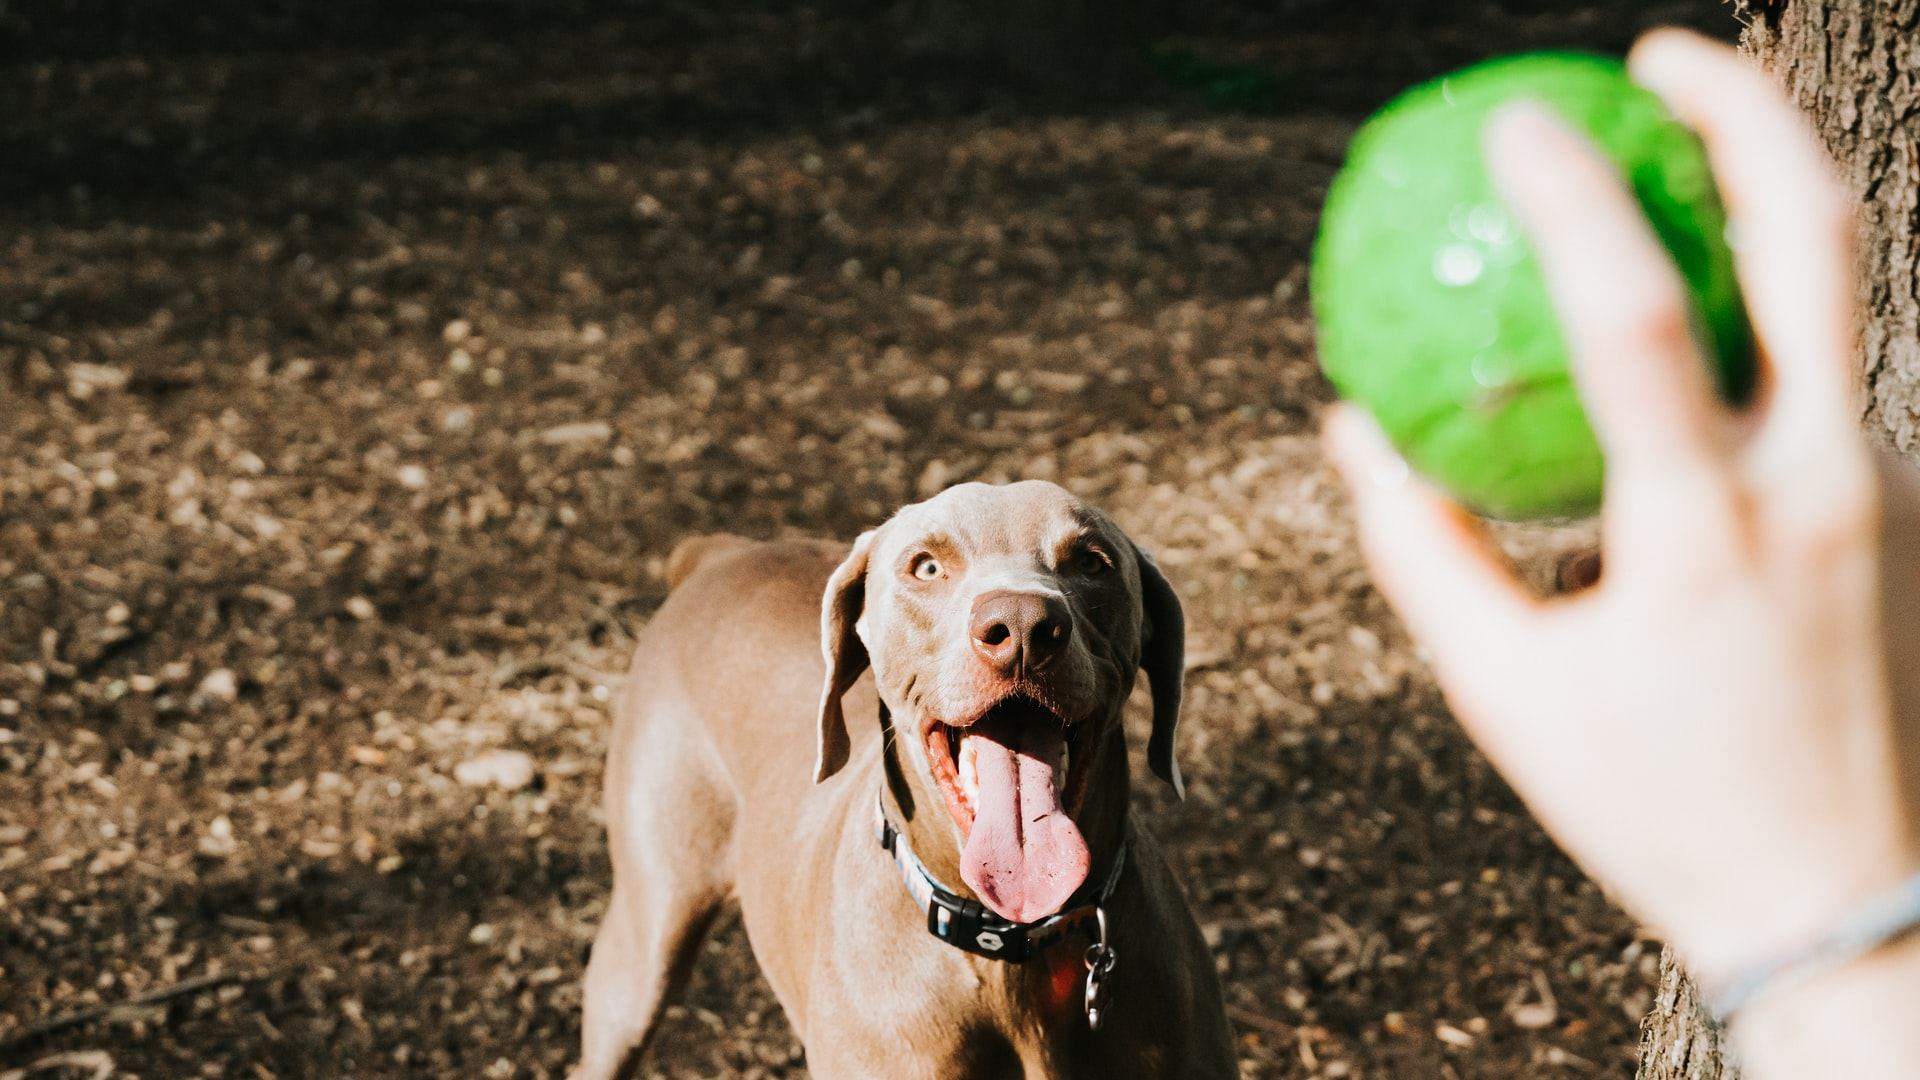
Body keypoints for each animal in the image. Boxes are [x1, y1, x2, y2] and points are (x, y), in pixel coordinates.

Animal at [572, 480, 1228, 1076]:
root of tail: (719, 556)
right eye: (927, 566)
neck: (1010, 951)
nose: (1021, 625)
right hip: (643, 945)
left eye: (1092, 562)